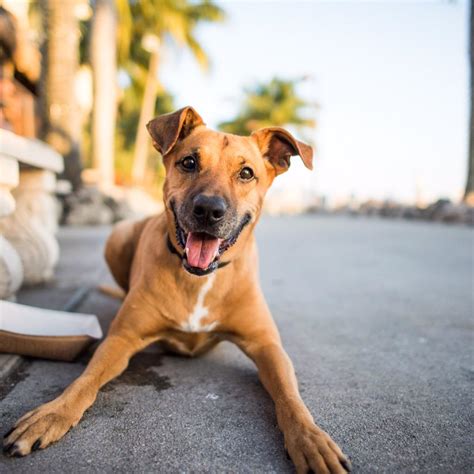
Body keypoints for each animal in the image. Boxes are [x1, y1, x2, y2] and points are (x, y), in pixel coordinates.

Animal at [3, 108, 352, 474]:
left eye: (246, 173)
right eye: (189, 162)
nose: (209, 210)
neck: (199, 278)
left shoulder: (267, 346)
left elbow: (290, 396)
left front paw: (311, 439)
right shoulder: (121, 339)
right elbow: (86, 380)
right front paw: (52, 413)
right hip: (118, 235)